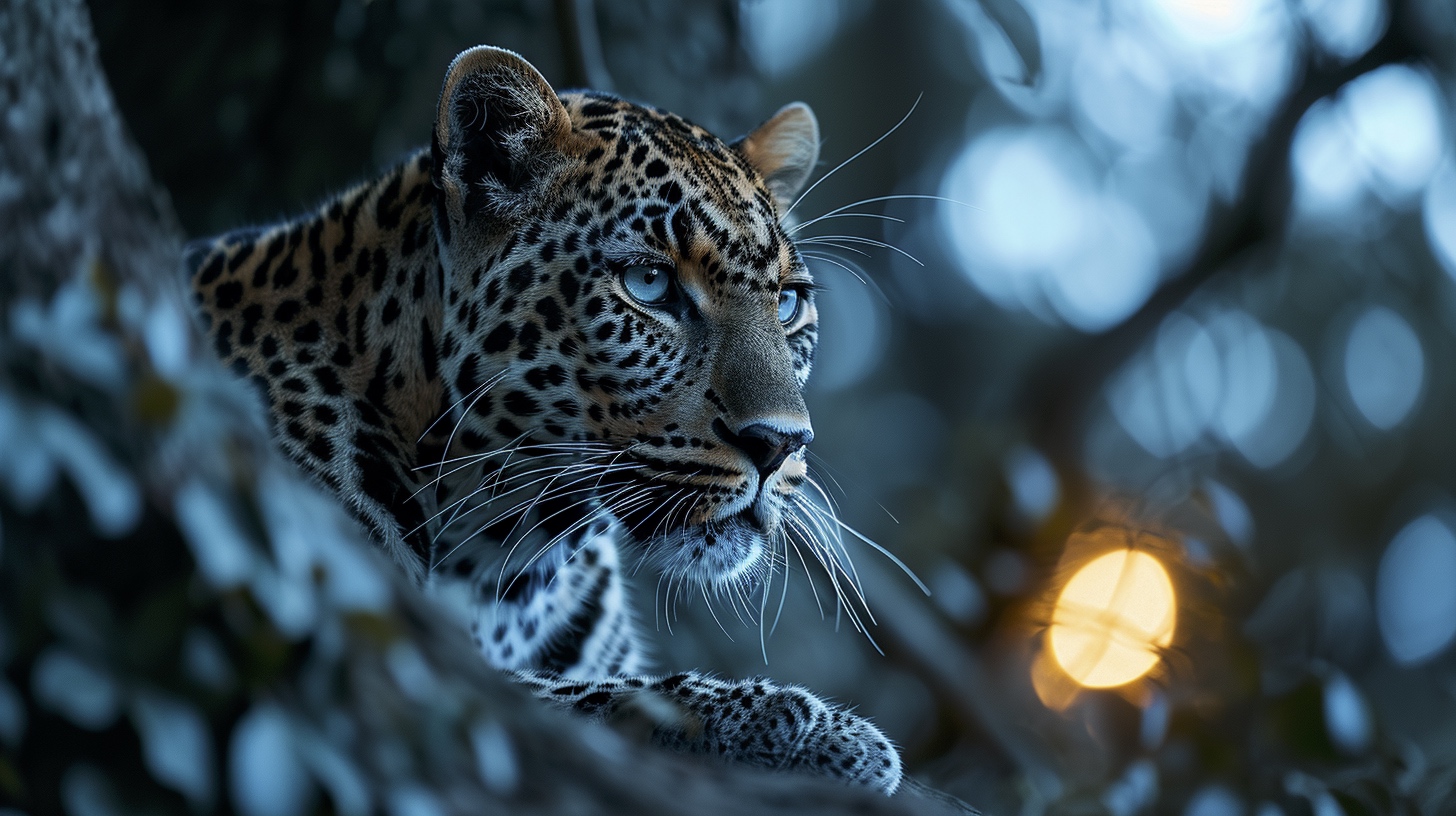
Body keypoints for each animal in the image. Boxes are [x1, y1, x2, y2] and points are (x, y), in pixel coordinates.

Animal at [184, 45, 901, 794]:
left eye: (788, 303)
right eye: (649, 285)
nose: (780, 443)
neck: (507, 559)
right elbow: (583, 701)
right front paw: (801, 727)